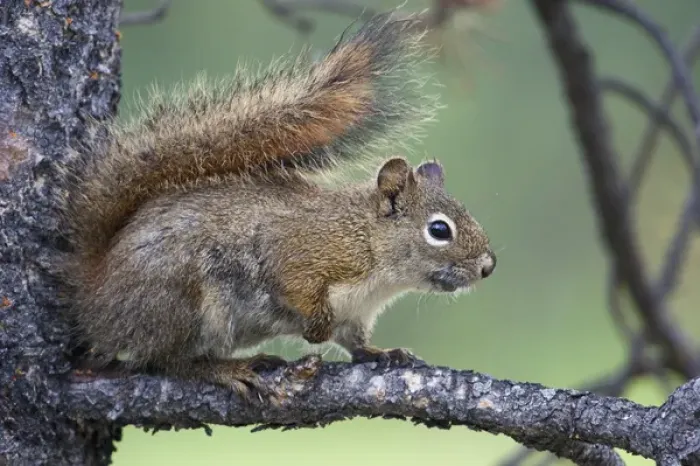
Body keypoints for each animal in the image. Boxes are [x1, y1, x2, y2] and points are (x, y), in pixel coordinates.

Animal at [56, 12, 496, 400]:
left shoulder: (356, 313)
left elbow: (355, 343)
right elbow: (297, 284)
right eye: (439, 230)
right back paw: (226, 369)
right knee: (165, 361)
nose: (488, 267)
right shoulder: (304, 250)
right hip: (179, 302)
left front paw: (382, 352)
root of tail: (96, 297)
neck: (371, 247)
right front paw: (317, 327)